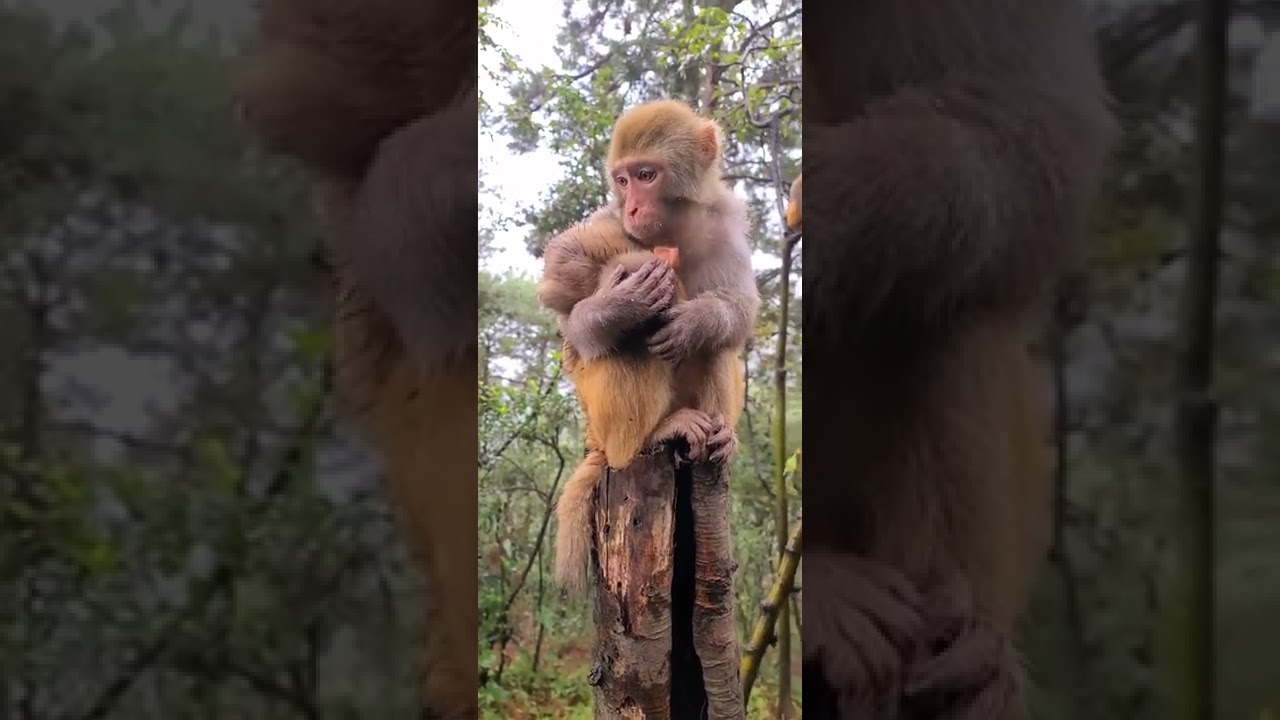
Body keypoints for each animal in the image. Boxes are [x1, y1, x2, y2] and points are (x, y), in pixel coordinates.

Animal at [537, 100, 759, 591]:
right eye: (622, 181)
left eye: (646, 175)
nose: (634, 207)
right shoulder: (610, 223)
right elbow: (567, 304)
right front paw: (622, 301)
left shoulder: (724, 220)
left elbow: (740, 307)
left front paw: (695, 320)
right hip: (602, 419)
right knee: (630, 343)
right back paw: (651, 436)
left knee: (716, 346)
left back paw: (718, 435)